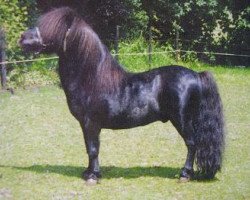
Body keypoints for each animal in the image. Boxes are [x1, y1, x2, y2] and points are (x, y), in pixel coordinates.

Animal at [19, 7, 225, 184]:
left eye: (51, 26)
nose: (22, 37)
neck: (91, 78)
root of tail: (196, 75)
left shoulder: (91, 123)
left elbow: (93, 149)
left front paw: (93, 177)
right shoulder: (86, 125)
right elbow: (88, 148)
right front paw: (88, 172)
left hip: (182, 120)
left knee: (192, 144)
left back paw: (184, 174)